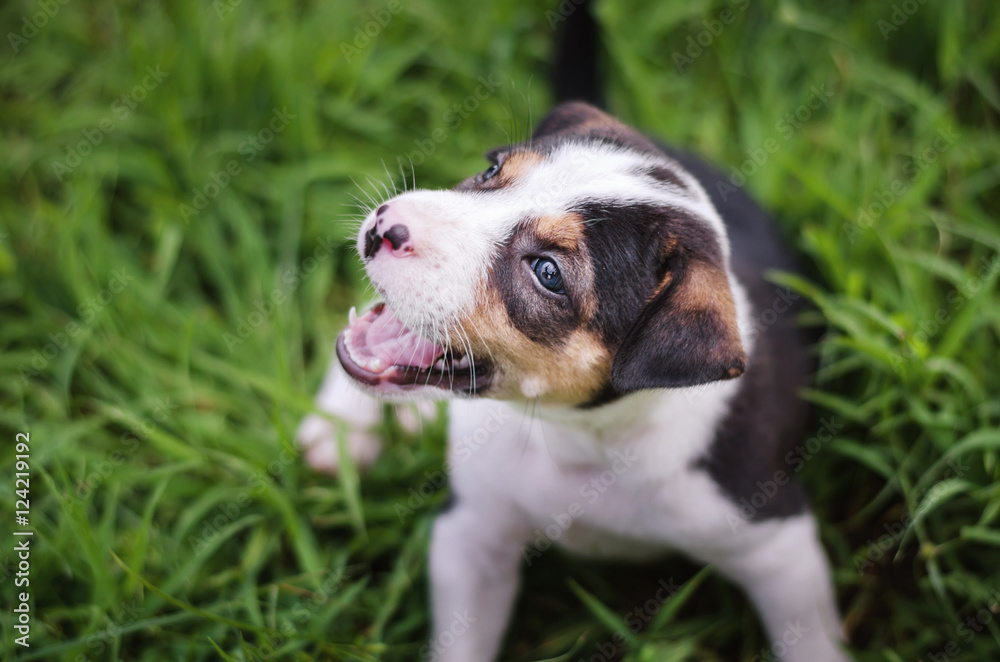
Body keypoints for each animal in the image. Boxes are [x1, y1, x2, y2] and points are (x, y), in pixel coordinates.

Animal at [298, 100, 852, 662]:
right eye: (493, 171)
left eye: (547, 272)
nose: (385, 226)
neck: (581, 439)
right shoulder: (473, 532)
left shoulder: (778, 545)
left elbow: (811, 640)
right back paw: (341, 428)